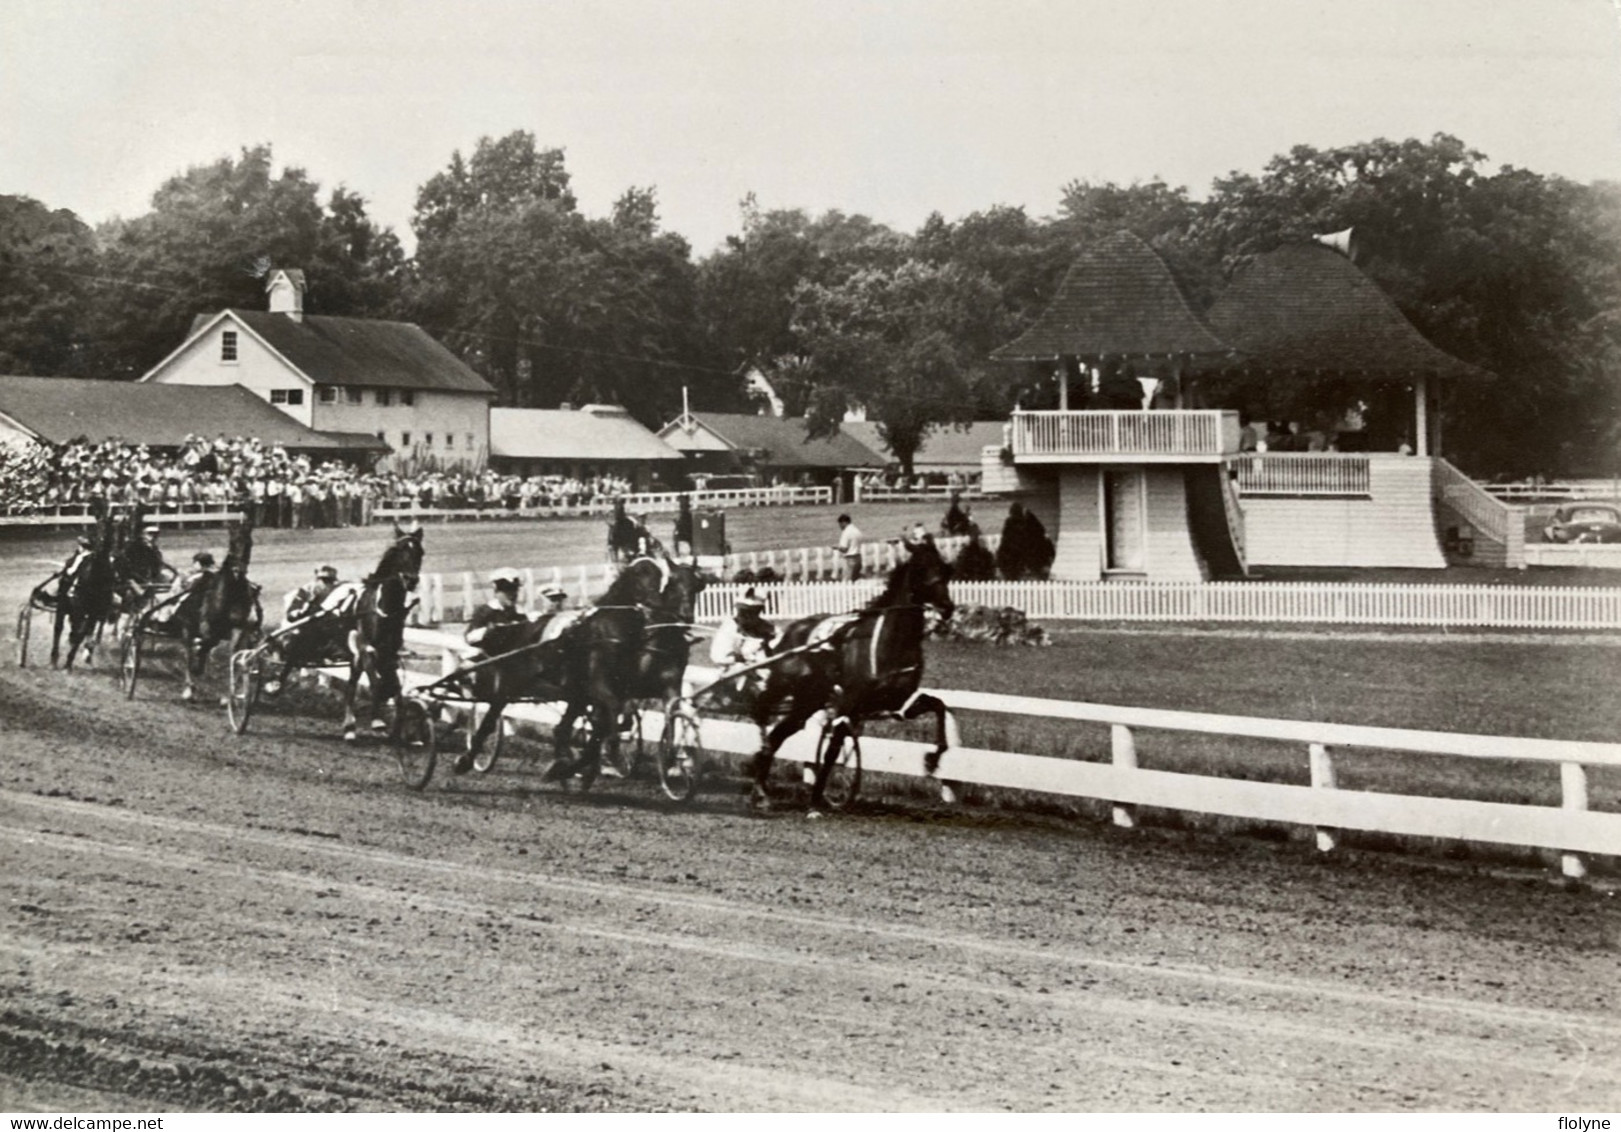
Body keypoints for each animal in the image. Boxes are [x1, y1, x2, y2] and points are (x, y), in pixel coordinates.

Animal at [171, 515, 262, 700]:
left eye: (249, 543)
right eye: (232, 542)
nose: (238, 569)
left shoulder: (238, 629)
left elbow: (232, 655)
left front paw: (228, 696)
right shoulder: (206, 626)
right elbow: (205, 643)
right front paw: (197, 666)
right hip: (186, 627)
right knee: (187, 651)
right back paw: (188, 687)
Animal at [338, 522, 424, 739]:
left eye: (420, 552)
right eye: (399, 550)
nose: (411, 580)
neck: (386, 609)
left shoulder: (389, 653)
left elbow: (394, 686)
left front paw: (398, 726)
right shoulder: (366, 648)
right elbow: (376, 683)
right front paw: (377, 721)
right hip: (357, 653)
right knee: (352, 685)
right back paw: (350, 726)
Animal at [748, 531, 959, 810]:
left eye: (945, 568)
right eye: (920, 568)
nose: (946, 607)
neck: (891, 642)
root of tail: (792, 630)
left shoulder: (896, 700)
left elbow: (939, 706)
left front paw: (932, 760)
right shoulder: (848, 703)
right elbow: (831, 751)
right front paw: (815, 801)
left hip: (807, 702)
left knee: (775, 737)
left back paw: (761, 791)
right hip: (789, 690)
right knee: (768, 727)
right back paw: (759, 784)